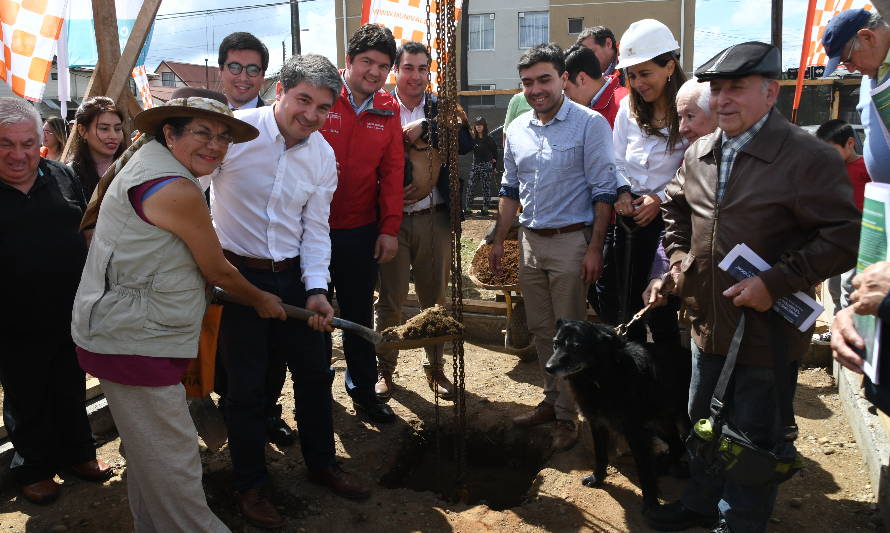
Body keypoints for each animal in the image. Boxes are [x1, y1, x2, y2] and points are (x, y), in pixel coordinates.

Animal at [544, 318, 692, 510]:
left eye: (576, 346)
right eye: (556, 344)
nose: (548, 368)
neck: (602, 376)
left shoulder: (635, 432)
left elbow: (643, 470)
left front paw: (651, 505)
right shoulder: (597, 423)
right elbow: (600, 455)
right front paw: (597, 479)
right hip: (659, 422)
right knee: (677, 445)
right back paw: (663, 466)